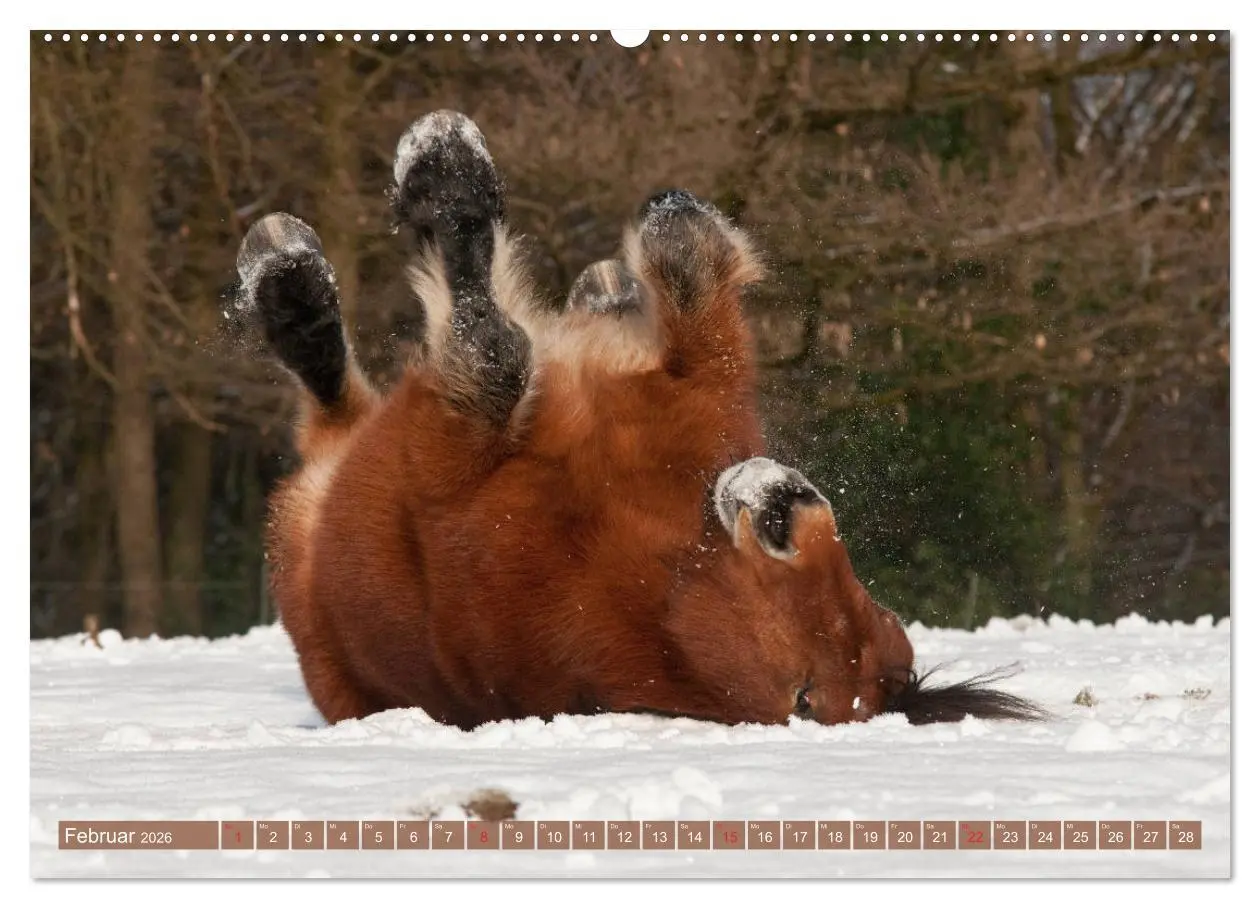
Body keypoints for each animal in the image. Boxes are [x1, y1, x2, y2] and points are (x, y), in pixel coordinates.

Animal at [228, 110, 1043, 731]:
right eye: (882, 617)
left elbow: (490, 346)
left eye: (806, 697)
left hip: (324, 513)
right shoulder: (707, 385)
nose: (787, 509)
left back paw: (291, 278)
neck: (674, 557)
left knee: (338, 395)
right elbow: (695, 275)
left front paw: (445, 176)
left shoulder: (444, 468)